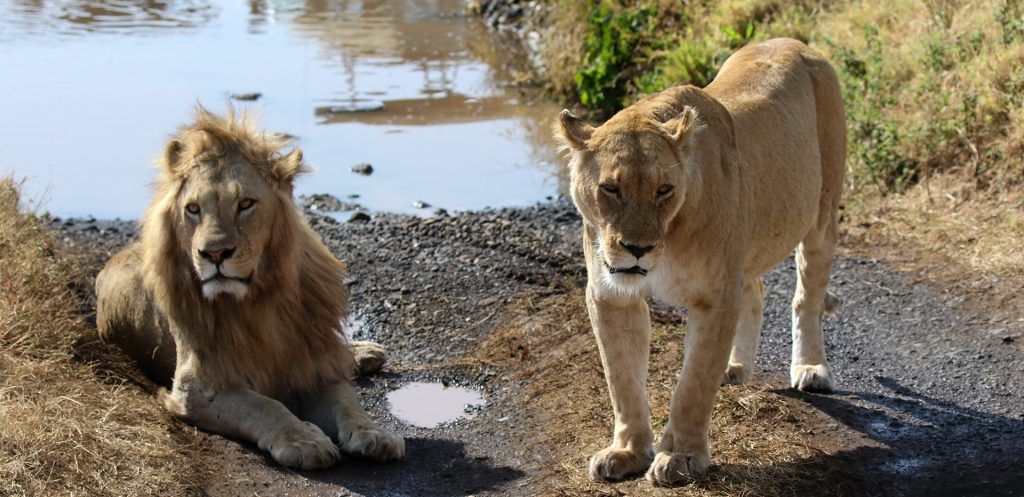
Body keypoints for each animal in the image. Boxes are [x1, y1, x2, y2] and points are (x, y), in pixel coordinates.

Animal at [96, 107, 405, 469]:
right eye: (193, 209)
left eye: (245, 204)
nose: (214, 254)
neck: (259, 300)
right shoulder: (195, 387)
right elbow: (264, 405)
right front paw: (303, 441)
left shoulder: (313, 367)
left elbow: (348, 402)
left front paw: (375, 434)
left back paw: (363, 352)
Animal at [557, 39, 843, 483]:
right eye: (610, 188)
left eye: (664, 190)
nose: (637, 248)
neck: (669, 241)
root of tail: (794, 42)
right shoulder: (611, 297)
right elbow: (621, 380)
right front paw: (627, 452)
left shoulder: (715, 297)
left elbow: (693, 385)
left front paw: (682, 457)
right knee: (756, 287)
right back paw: (736, 365)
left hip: (822, 213)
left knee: (806, 298)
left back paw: (810, 368)